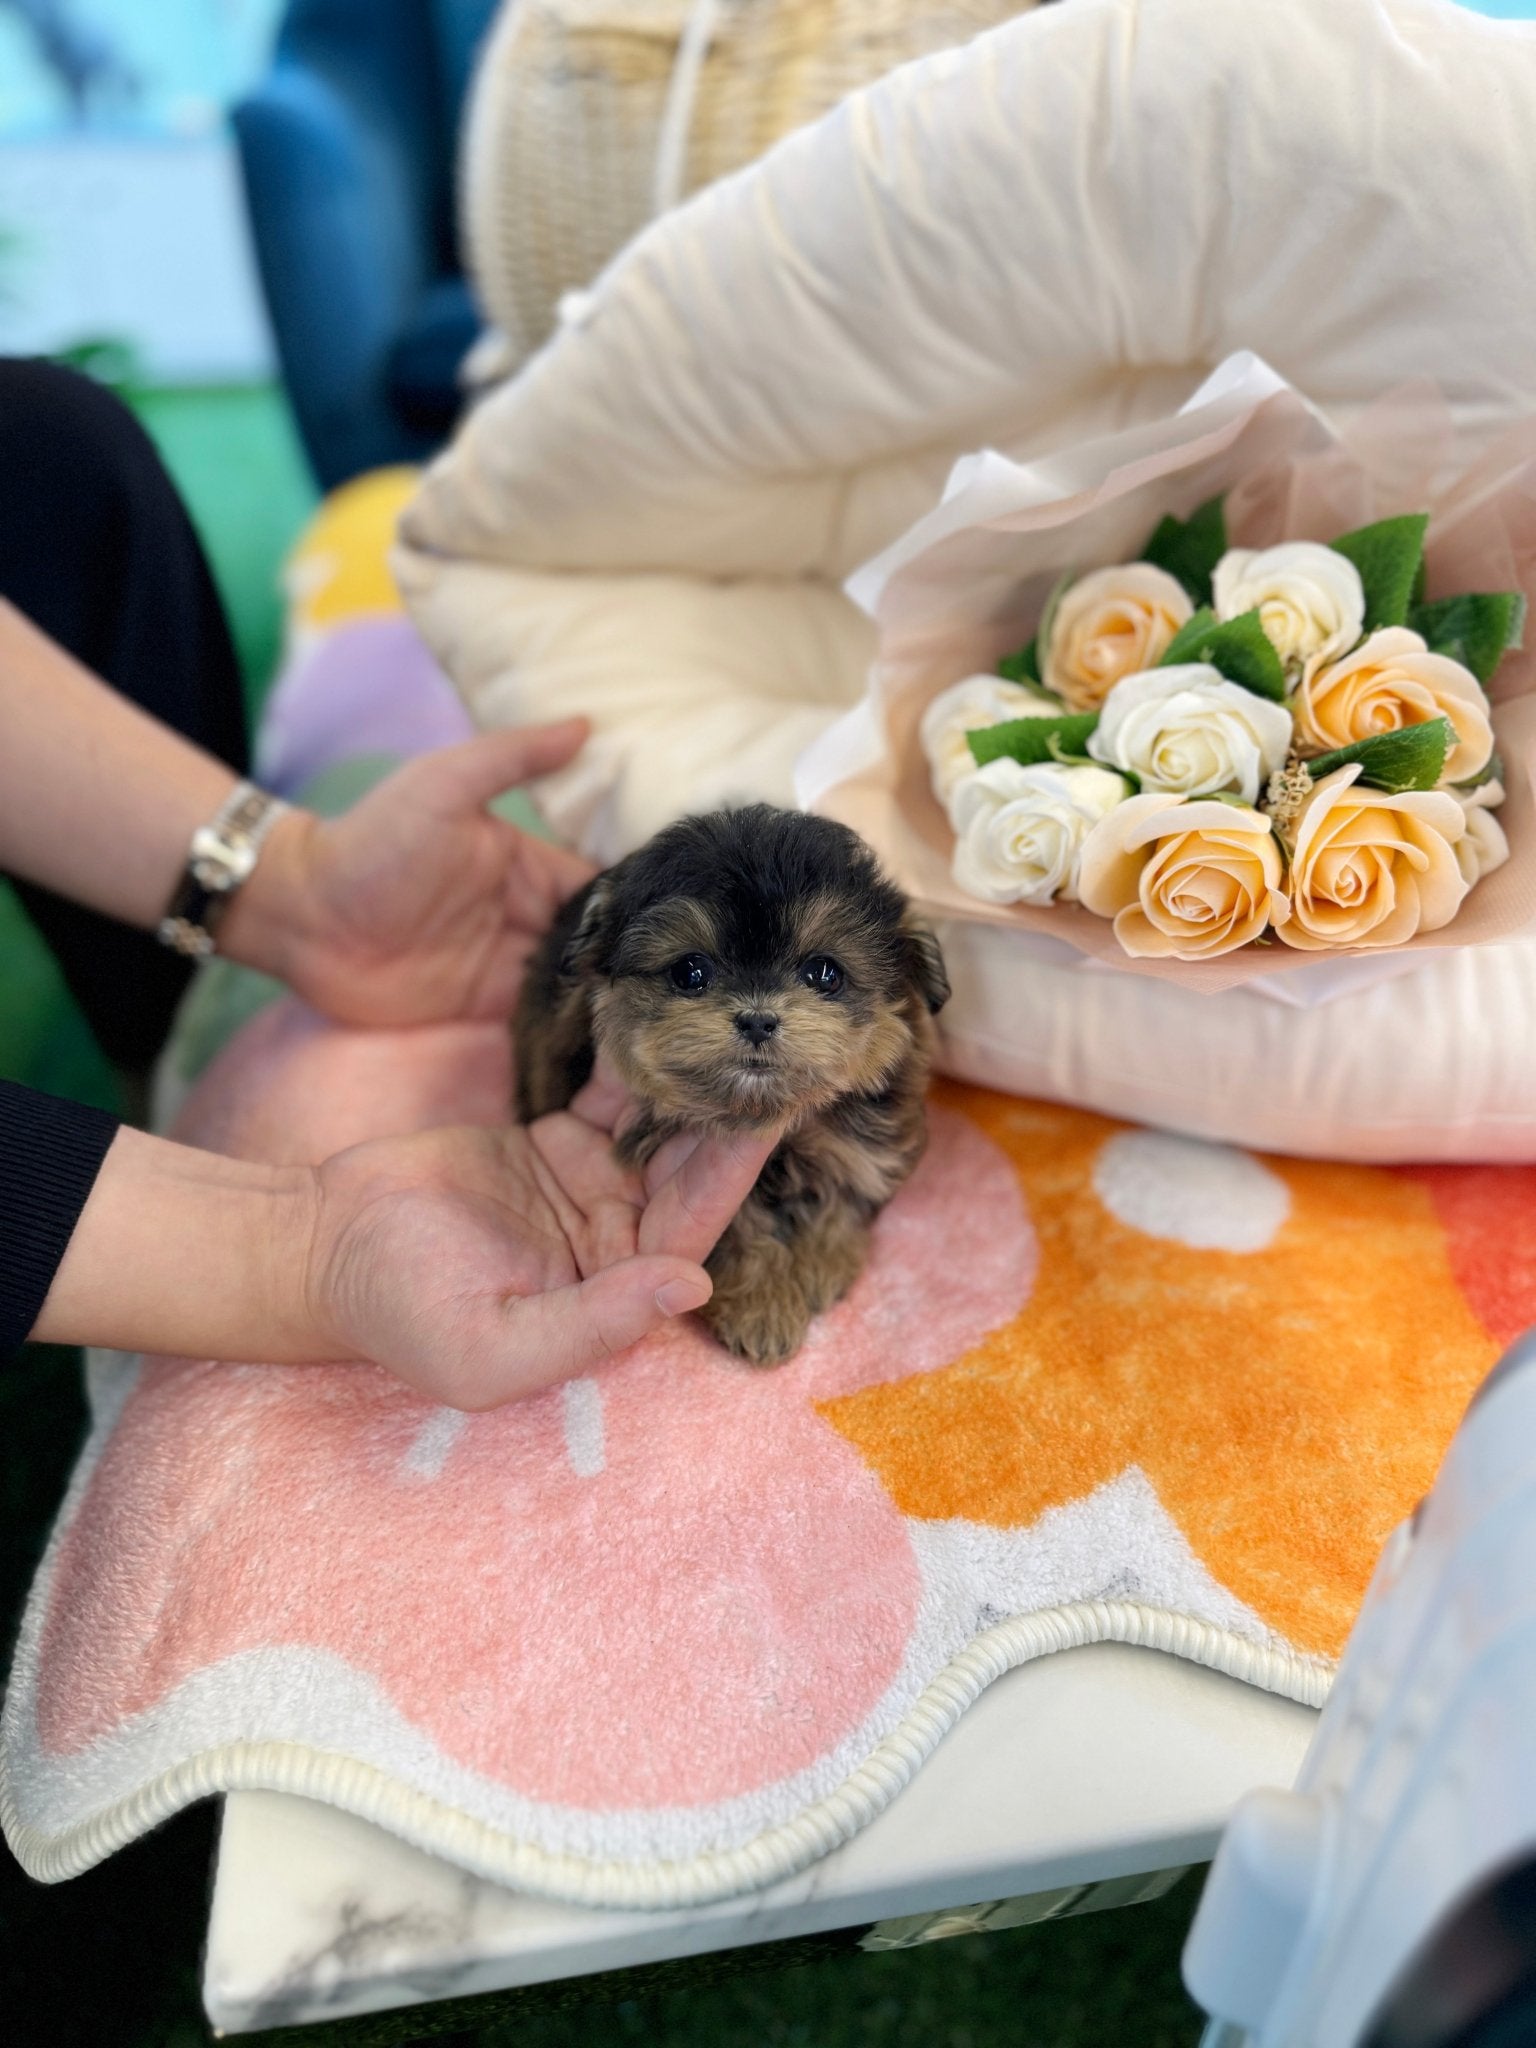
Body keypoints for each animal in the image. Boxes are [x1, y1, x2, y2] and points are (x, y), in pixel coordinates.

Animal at [518, 806, 950, 1368]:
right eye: (690, 972)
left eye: (824, 973)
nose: (758, 1020)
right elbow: (736, 1230)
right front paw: (761, 1309)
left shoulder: (872, 1142)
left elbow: (846, 1194)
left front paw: (820, 1268)